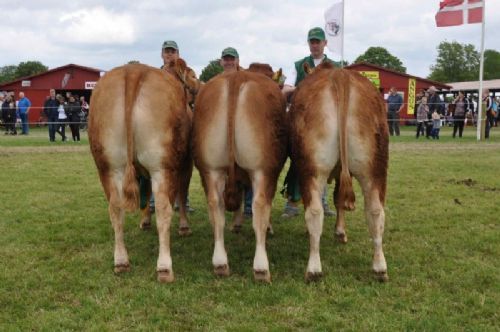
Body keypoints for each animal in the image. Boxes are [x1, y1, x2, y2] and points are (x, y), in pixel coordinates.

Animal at [88, 60, 199, 282]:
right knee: (164, 209)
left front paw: (145, 222)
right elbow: (181, 196)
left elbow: (145, 197)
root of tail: (133, 70)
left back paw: (121, 261)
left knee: (115, 209)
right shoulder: (185, 164)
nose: (200, 86)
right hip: (162, 166)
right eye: (192, 75)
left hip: (108, 167)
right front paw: (184, 227)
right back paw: (164, 267)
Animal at [191, 63, 288, 282]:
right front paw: (268, 228)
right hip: (263, 169)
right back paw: (261, 268)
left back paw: (220, 263)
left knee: (215, 206)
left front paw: (236, 224)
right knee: (260, 205)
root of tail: (236, 78)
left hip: (211, 168)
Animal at [290, 63, 390, 282]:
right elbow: (339, 200)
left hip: (312, 168)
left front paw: (339, 232)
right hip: (374, 168)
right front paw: (340, 232)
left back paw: (314, 269)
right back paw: (379, 267)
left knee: (314, 211)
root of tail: (340, 75)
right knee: (375, 211)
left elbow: (336, 200)